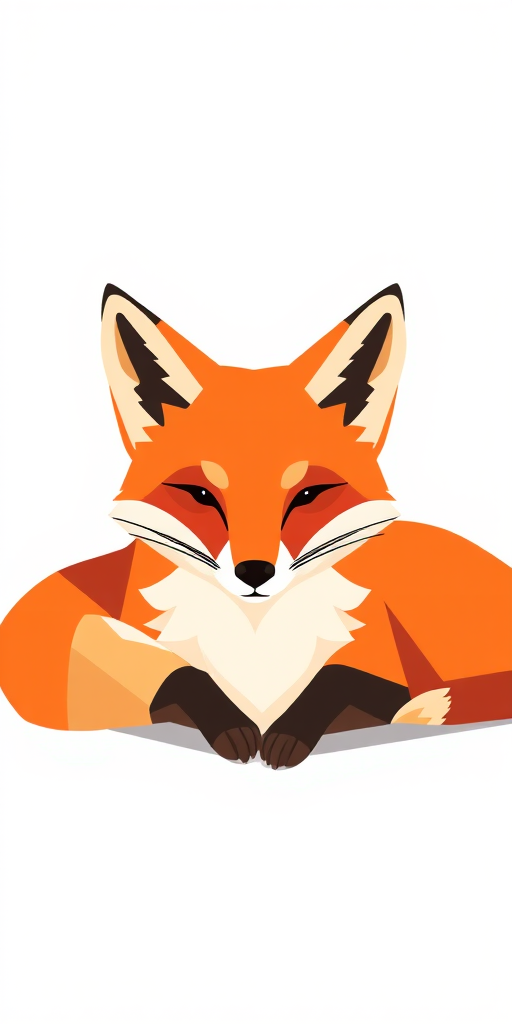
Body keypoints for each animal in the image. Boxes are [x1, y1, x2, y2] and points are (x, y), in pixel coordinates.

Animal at [0, 283, 511, 768]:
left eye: (308, 494)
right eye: (200, 495)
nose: (254, 572)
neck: (258, 643)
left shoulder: (380, 657)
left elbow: (352, 680)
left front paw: (289, 733)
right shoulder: (41, 631)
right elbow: (171, 673)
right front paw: (231, 724)